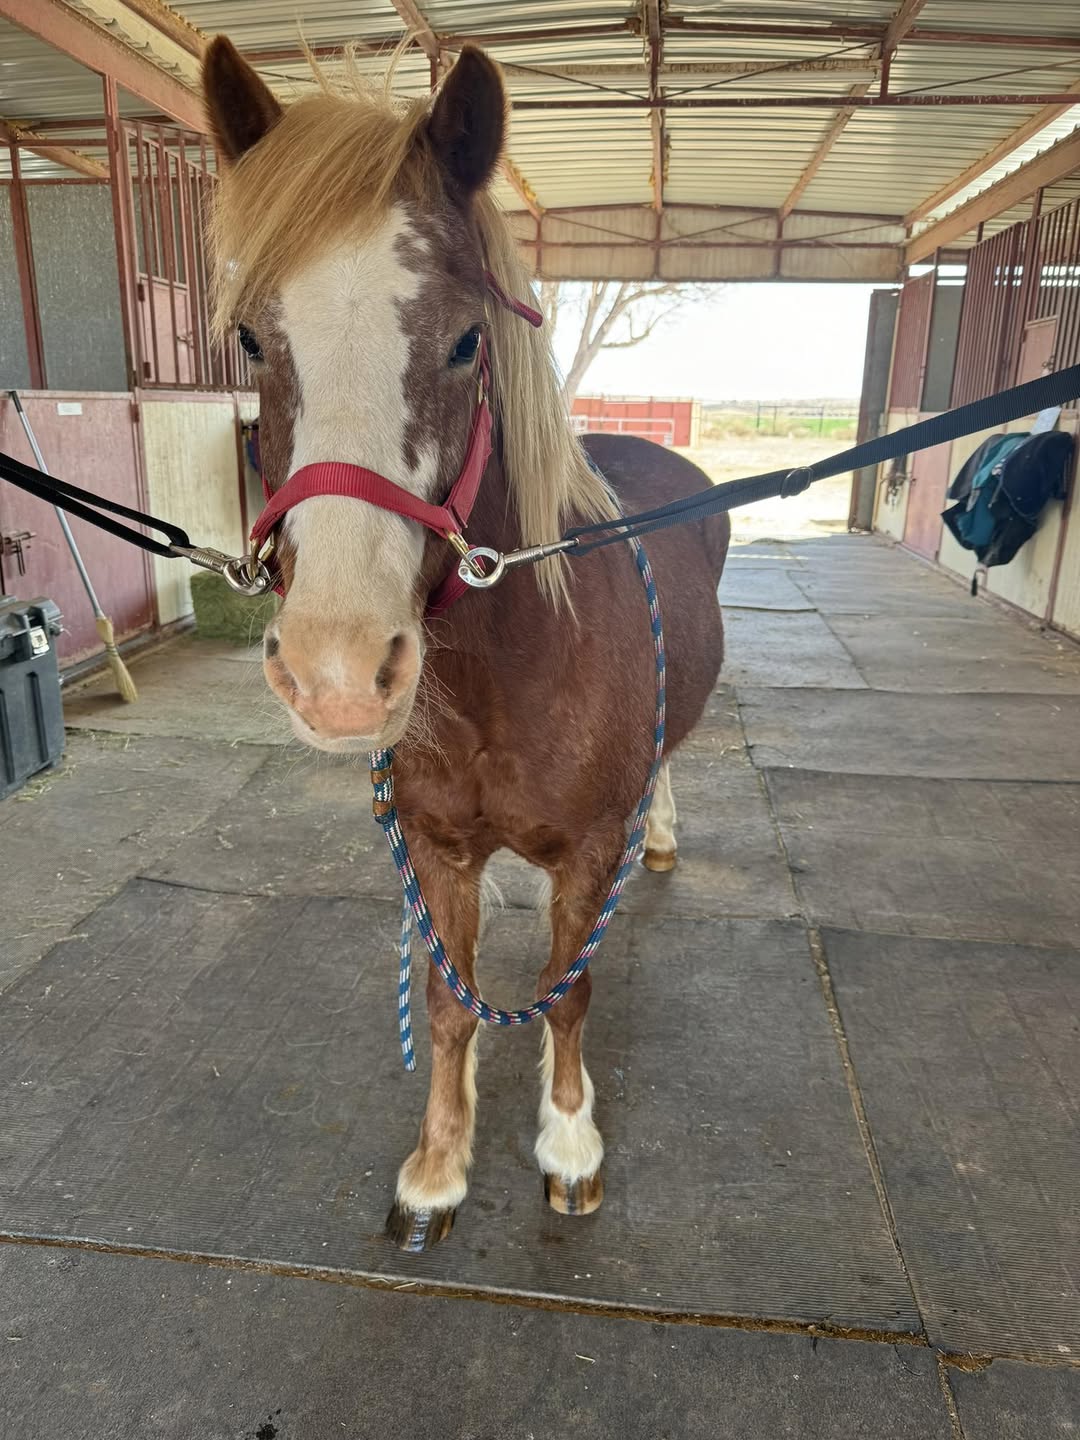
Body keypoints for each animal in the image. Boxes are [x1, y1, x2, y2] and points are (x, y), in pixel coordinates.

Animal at [202, 38, 730, 1252]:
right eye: (252, 337)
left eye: (464, 340)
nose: (340, 673)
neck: (509, 672)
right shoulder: (436, 850)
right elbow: (450, 1002)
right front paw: (438, 1169)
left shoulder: (584, 852)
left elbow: (567, 991)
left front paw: (569, 1147)